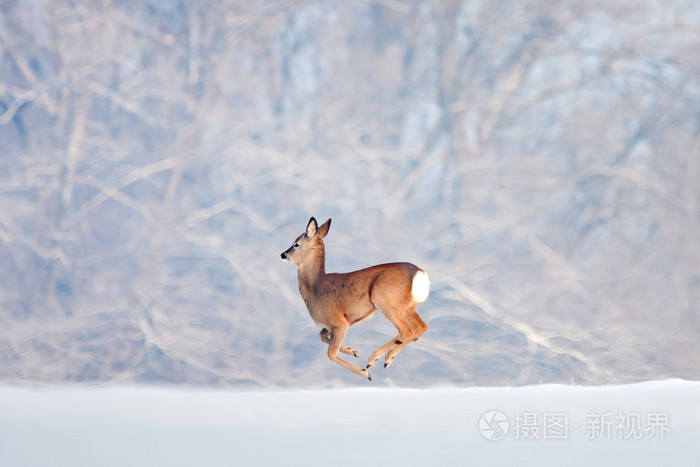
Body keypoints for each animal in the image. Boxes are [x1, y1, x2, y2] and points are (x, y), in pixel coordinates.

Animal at [281, 217, 429, 381]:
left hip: (386, 302)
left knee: (407, 331)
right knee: (421, 327)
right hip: (408, 307)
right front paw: (353, 351)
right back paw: (386, 359)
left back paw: (374, 360)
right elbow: (321, 336)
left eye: (296, 244)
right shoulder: (332, 325)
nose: (283, 255)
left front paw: (364, 372)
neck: (315, 287)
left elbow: (331, 354)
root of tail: (420, 274)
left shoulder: (339, 323)